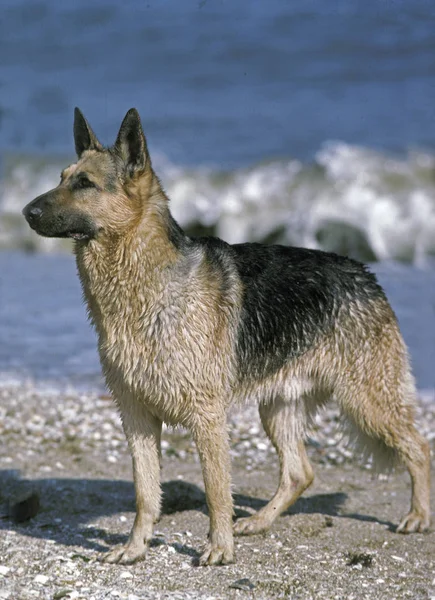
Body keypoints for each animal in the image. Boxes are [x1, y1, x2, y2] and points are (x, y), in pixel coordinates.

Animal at [24, 109, 432, 568]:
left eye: (85, 184)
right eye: (61, 178)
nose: (25, 212)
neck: (146, 284)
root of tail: (365, 273)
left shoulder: (207, 419)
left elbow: (217, 490)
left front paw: (219, 548)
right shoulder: (137, 418)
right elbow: (146, 493)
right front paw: (135, 548)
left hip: (367, 403)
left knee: (418, 448)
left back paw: (418, 515)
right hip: (278, 409)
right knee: (300, 472)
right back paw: (260, 522)